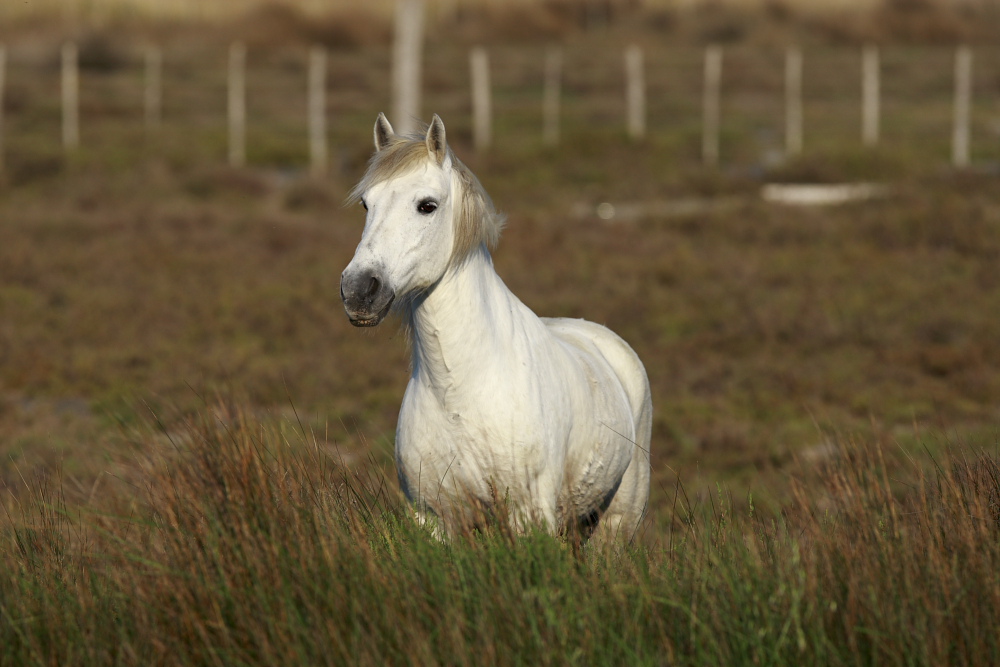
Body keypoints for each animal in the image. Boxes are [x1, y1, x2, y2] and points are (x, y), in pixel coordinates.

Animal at [341, 113, 652, 542]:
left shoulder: (529, 515)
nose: (358, 290)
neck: (459, 391)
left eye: (427, 206)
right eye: (366, 204)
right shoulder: (433, 519)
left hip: (619, 520)